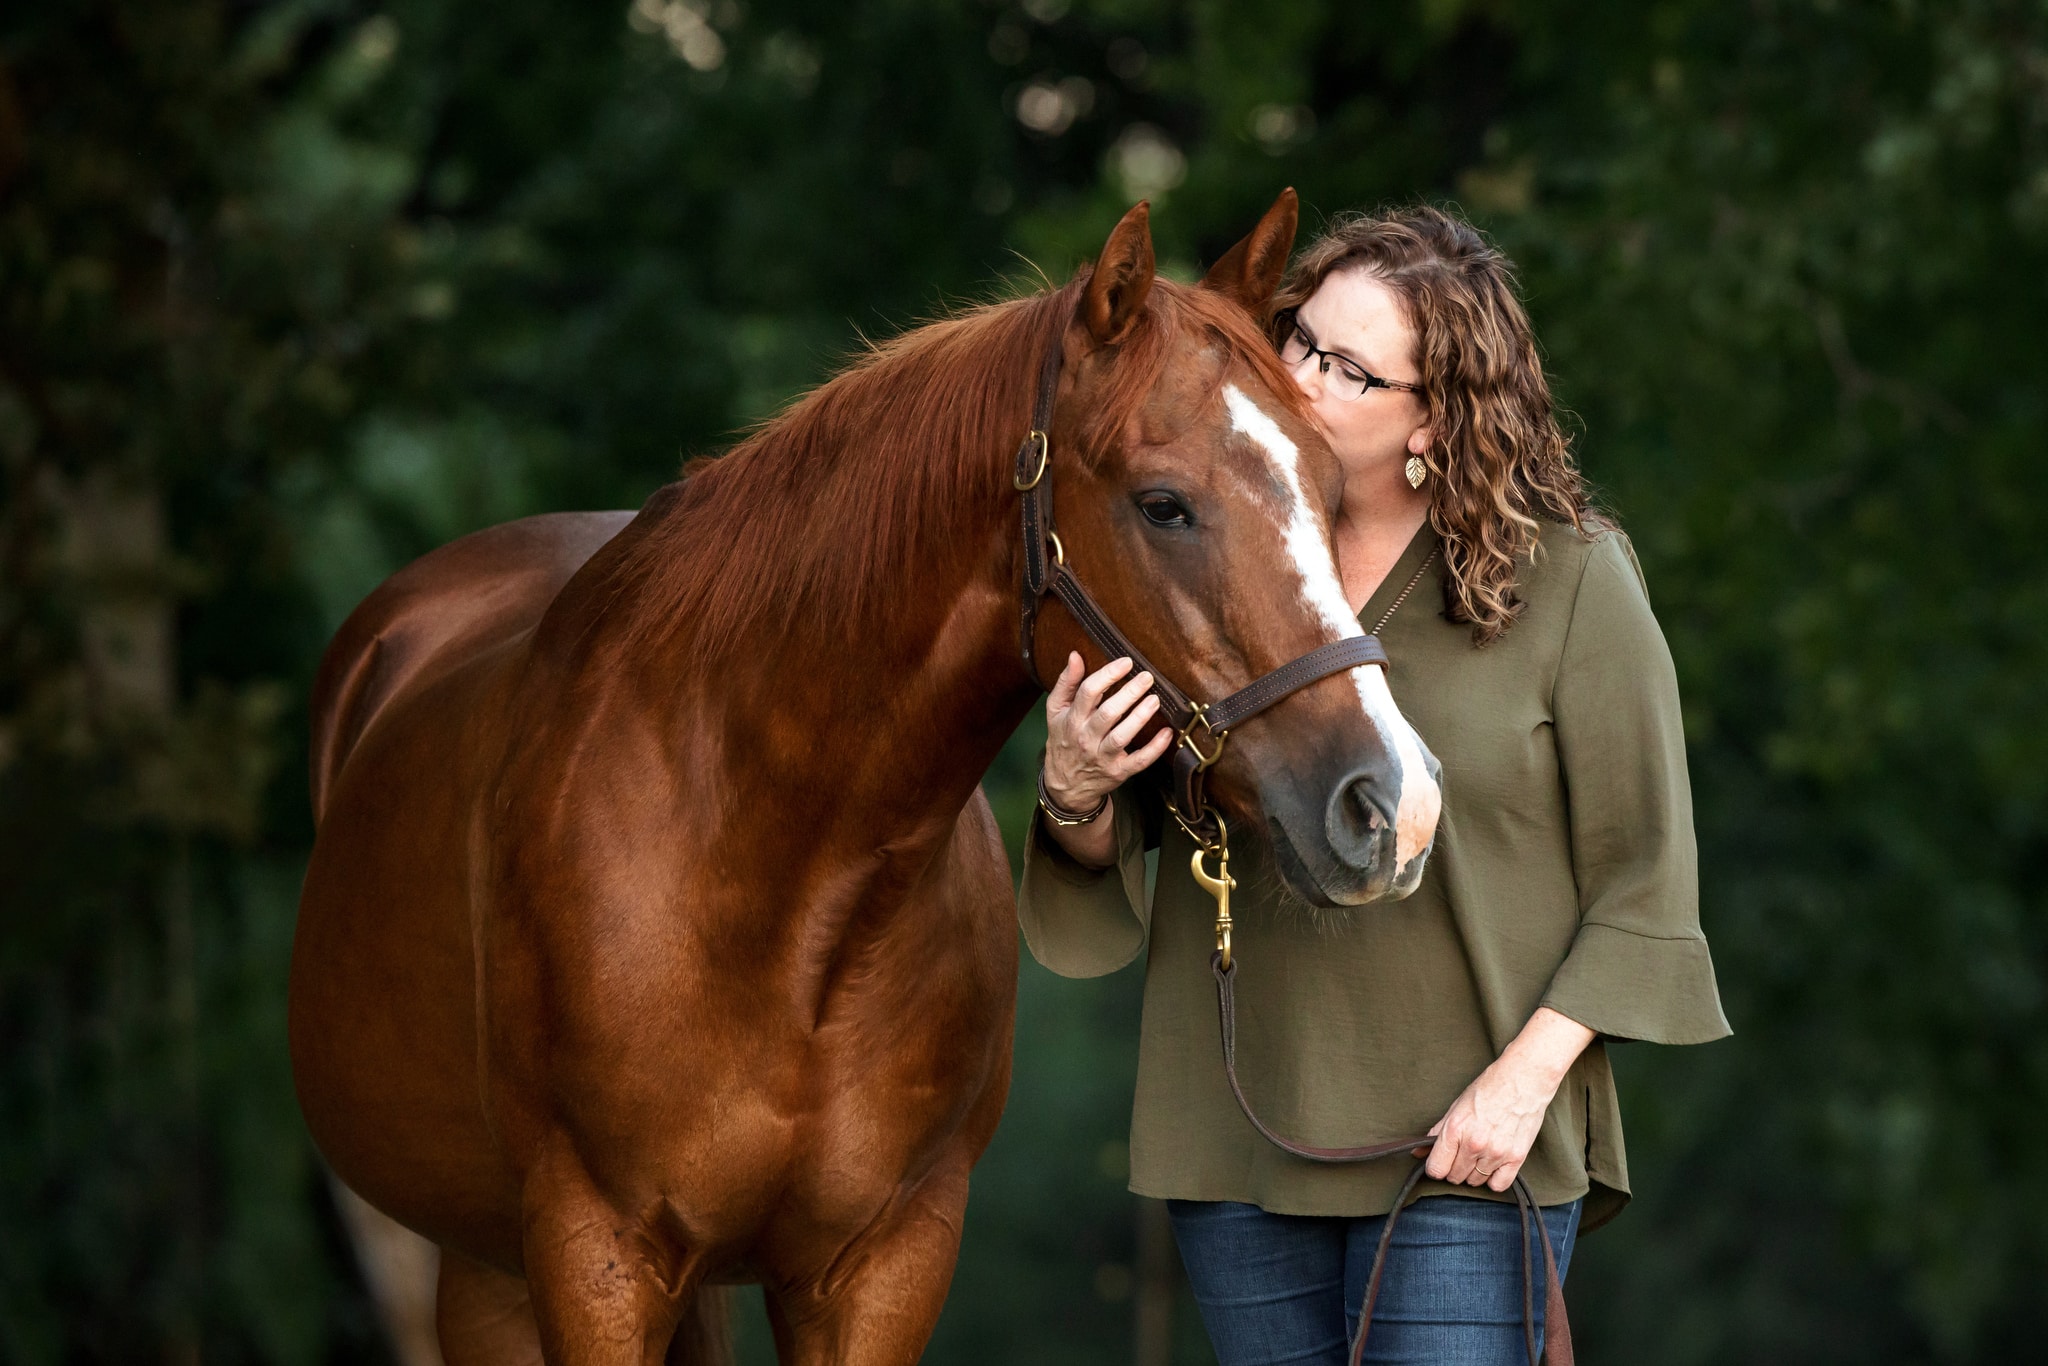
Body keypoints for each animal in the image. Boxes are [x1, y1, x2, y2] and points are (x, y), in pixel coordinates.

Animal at [292, 194, 1441, 1366]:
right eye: (1163, 504)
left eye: (1332, 488)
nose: (1388, 803)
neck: (777, 863)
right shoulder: (591, 1256)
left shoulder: (887, 1261)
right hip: (473, 1267)